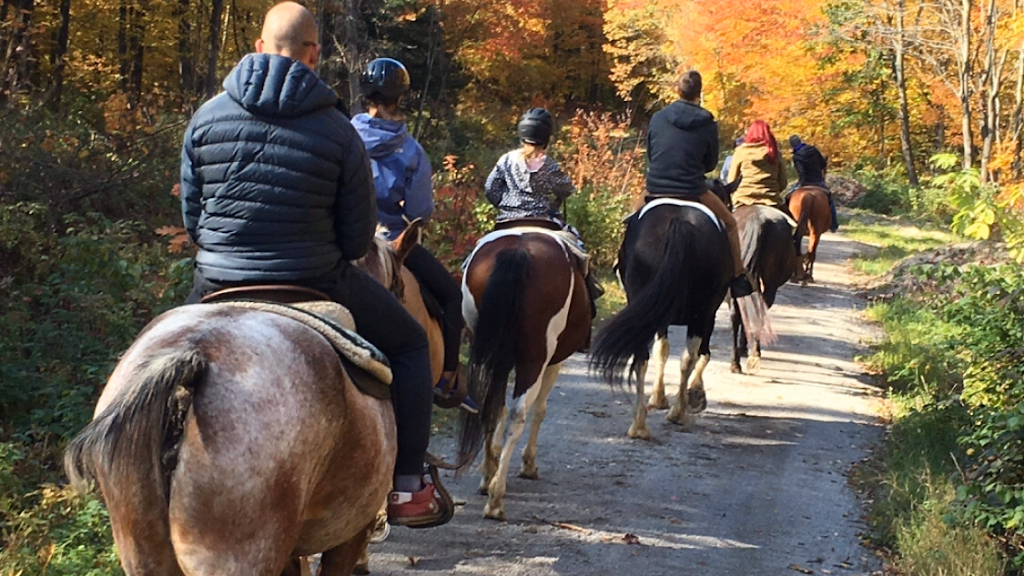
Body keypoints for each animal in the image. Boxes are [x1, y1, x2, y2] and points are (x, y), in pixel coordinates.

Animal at [458, 225, 593, 520]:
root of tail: (518, 251)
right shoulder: (552, 362)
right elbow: (539, 410)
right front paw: (528, 465)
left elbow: (497, 407)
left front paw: (492, 464)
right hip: (536, 356)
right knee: (518, 414)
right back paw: (496, 499)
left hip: (482, 345)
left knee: (488, 405)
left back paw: (489, 478)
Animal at [593, 180, 737, 438]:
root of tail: (679, 223)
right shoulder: (707, 315)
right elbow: (698, 353)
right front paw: (694, 396)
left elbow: (665, 351)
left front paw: (664, 398)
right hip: (700, 313)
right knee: (687, 356)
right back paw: (674, 414)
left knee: (644, 357)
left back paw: (640, 425)